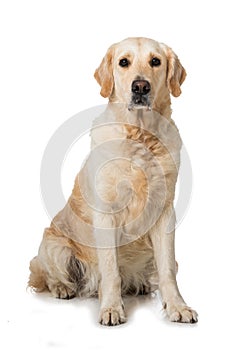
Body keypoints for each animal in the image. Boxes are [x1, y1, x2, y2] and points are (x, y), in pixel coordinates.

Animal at [28, 37, 197, 326]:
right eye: (123, 62)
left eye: (155, 61)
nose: (140, 86)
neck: (140, 135)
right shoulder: (106, 213)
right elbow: (110, 270)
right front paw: (111, 308)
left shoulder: (164, 212)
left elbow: (167, 270)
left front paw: (178, 306)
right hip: (55, 247)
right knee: (44, 273)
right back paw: (62, 288)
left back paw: (141, 285)